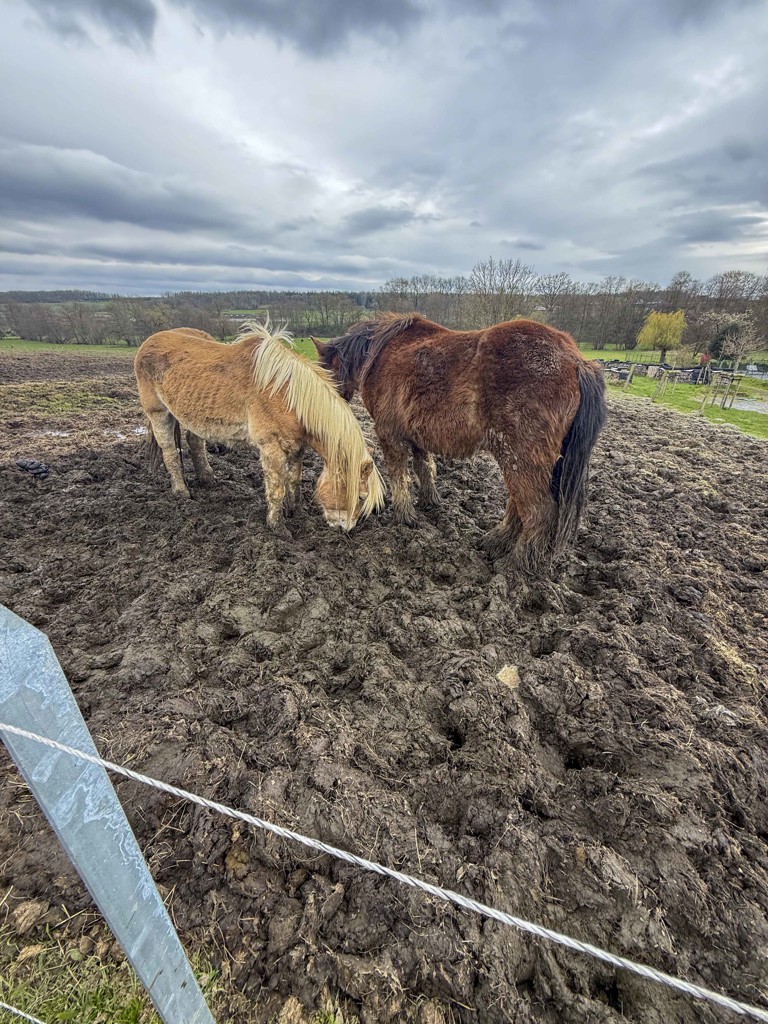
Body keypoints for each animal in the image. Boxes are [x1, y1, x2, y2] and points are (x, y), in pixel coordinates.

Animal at [134, 320, 385, 537]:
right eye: (361, 497)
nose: (345, 529)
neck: (288, 396)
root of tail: (149, 342)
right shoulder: (271, 448)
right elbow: (276, 489)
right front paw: (278, 527)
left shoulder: (297, 447)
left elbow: (294, 480)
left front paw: (297, 513)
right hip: (158, 413)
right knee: (170, 452)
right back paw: (181, 492)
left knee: (195, 443)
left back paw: (207, 478)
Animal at [313, 313, 606, 567]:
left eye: (325, 373)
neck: (380, 351)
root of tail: (577, 361)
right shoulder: (416, 436)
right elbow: (425, 468)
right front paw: (431, 502)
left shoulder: (390, 434)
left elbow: (399, 475)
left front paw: (404, 515)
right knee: (519, 503)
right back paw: (496, 542)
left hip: (519, 458)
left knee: (538, 511)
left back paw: (517, 563)